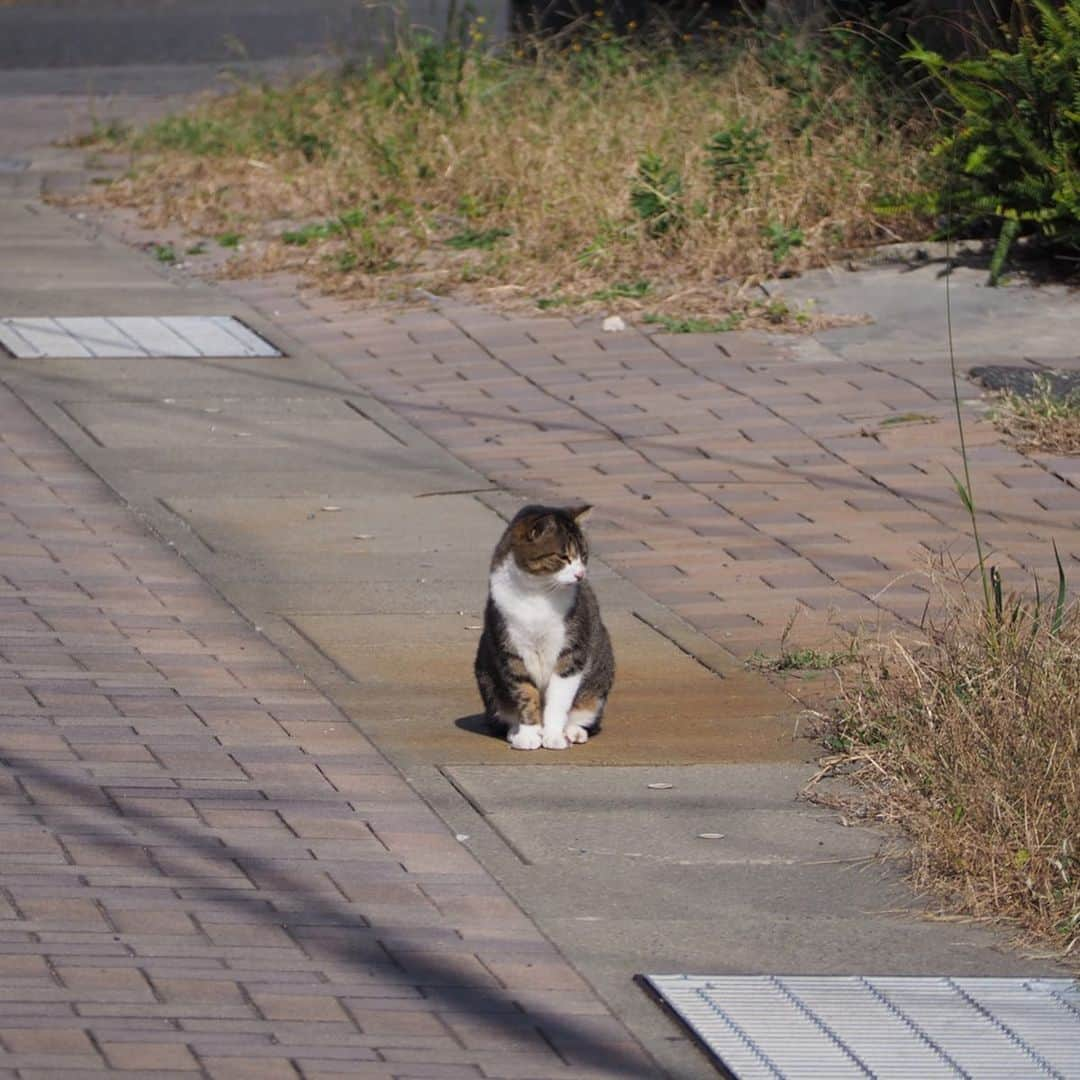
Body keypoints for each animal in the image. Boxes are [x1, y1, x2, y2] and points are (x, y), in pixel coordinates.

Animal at [475, 498, 617, 747]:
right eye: (563, 557)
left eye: (584, 555)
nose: (580, 575)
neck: (537, 592)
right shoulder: (510, 649)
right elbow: (524, 692)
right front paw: (529, 734)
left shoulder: (571, 652)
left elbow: (559, 698)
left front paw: (553, 735)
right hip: (487, 680)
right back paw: (514, 731)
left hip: (599, 682)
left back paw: (573, 731)